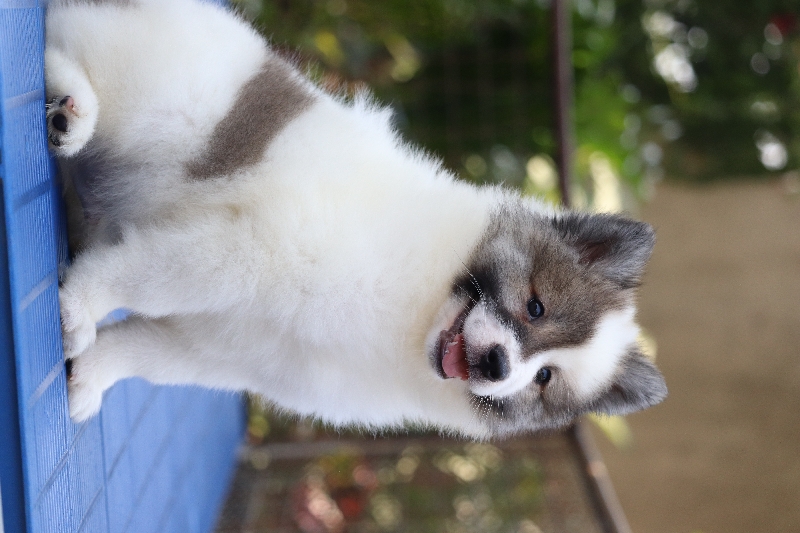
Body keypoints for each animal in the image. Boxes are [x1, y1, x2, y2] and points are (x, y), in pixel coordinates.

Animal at [46, 0, 666, 439]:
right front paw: (77, 306)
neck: (411, 314)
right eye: (536, 308)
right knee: (64, 32)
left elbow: (144, 352)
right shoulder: (249, 250)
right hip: (152, 85)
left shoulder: (227, 352)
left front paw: (89, 377)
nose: (496, 364)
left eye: (543, 379)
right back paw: (68, 104)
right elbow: (143, 278)